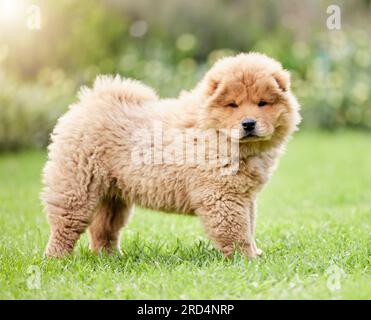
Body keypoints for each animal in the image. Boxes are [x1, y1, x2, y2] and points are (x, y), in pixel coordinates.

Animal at [42, 52, 300, 258]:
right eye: (233, 105)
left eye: (262, 103)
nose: (248, 123)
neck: (214, 134)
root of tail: (86, 103)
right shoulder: (222, 196)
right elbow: (237, 231)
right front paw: (246, 259)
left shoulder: (245, 196)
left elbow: (250, 225)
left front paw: (255, 253)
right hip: (77, 187)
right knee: (65, 225)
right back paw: (57, 259)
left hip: (112, 196)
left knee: (104, 229)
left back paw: (110, 257)